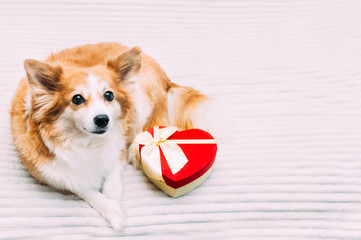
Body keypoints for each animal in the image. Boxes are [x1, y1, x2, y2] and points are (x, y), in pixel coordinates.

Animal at [9, 42, 222, 231]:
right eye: (77, 99)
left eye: (109, 95)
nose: (103, 119)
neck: (87, 143)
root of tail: (165, 77)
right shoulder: (53, 174)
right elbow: (84, 188)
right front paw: (112, 210)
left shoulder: (117, 150)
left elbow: (112, 178)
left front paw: (115, 201)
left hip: (140, 100)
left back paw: (136, 150)